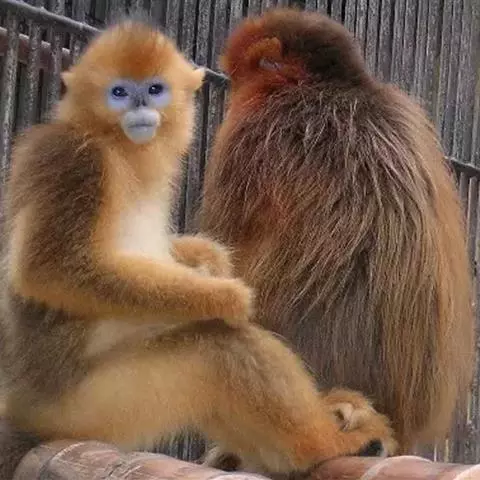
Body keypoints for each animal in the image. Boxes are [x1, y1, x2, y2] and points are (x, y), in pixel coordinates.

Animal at [0, 19, 397, 478]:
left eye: (154, 89)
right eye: (119, 92)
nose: (139, 106)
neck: (118, 148)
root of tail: (21, 413)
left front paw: (210, 260)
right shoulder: (74, 161)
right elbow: (50, 271)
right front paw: (227, 297)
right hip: (90, 409)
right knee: (220, 347)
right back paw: (323, 447)